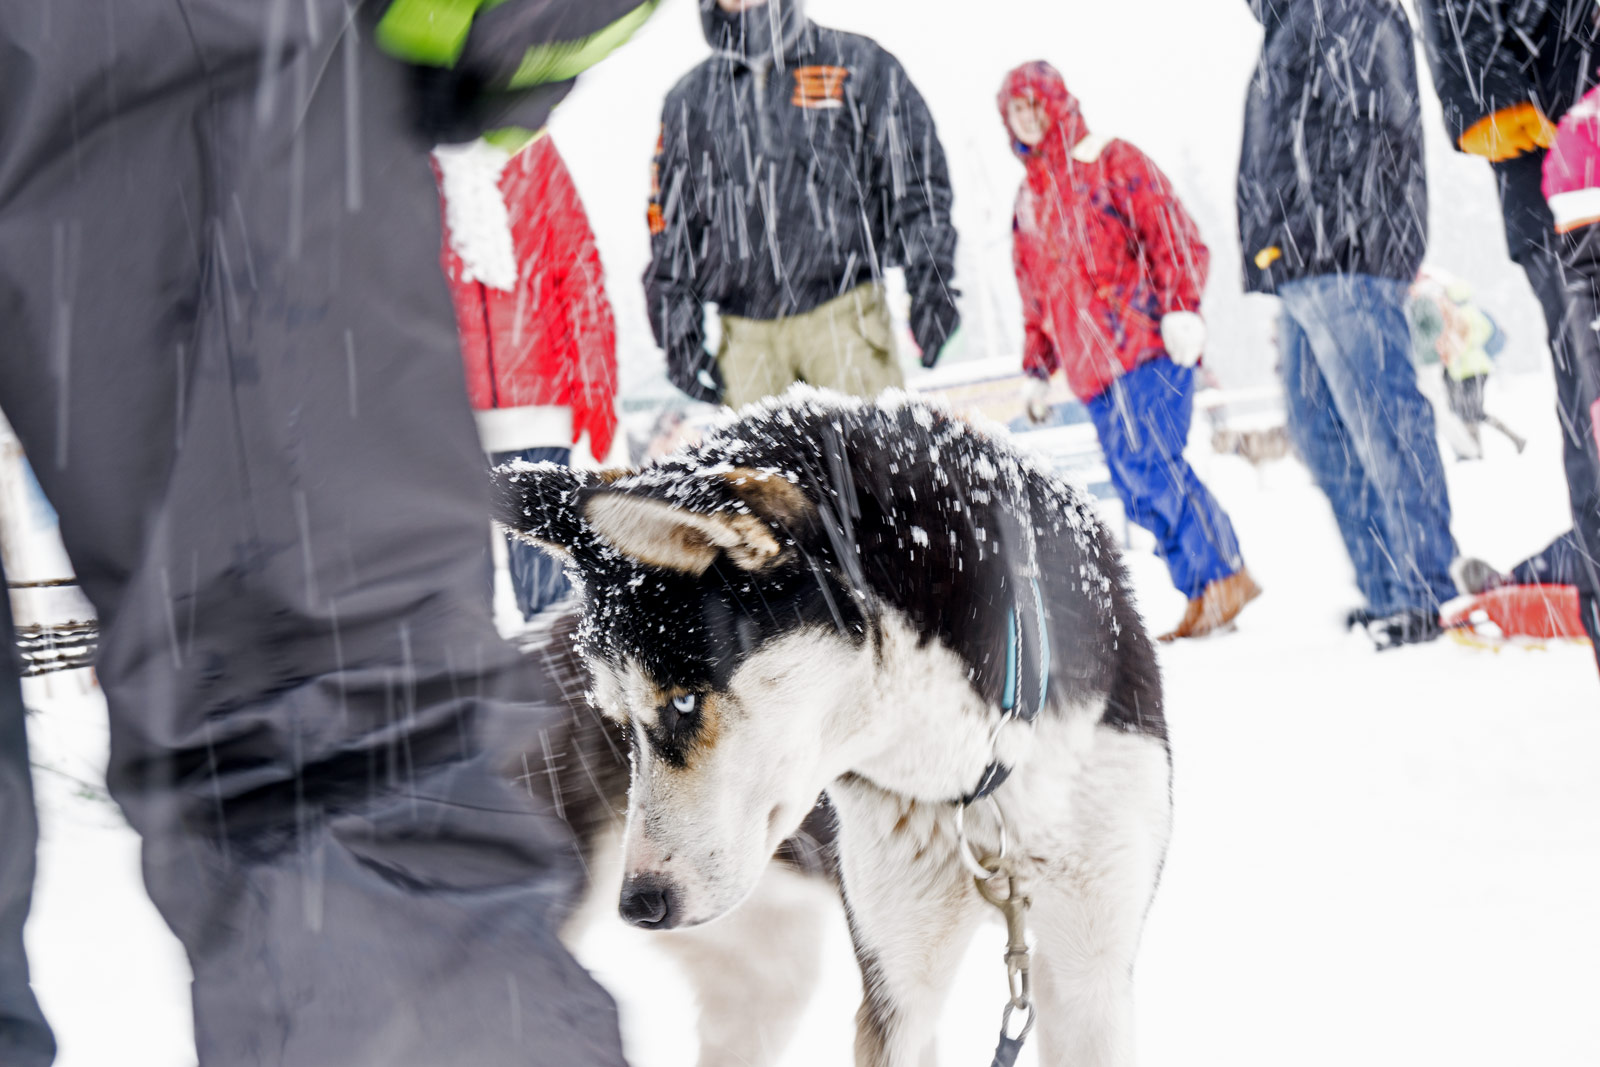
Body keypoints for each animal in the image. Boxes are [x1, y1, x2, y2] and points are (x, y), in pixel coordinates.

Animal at [499, 388, 1177, 1062]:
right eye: (618, 720)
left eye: (683, 703)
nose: (639, 905)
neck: (970, 778)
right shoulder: (897, 988)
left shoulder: (1091, 973)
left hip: (768, 984)